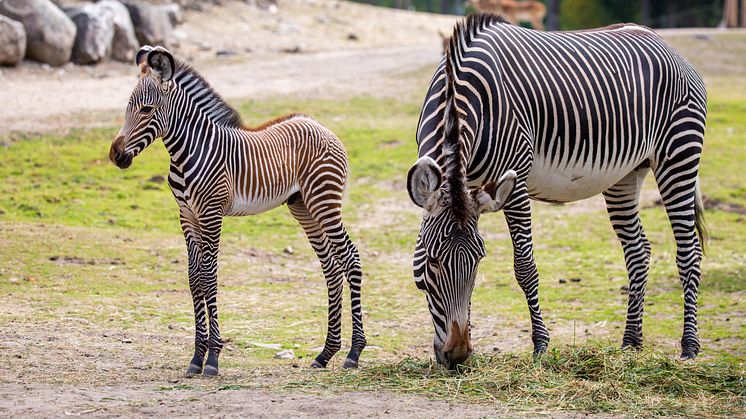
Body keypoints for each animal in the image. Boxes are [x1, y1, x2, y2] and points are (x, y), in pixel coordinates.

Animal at [110, 46, 366, 378]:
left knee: (351, 259)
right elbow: (194, 278)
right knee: (332, 268)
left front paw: (213, 358)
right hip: (303, 206)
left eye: (146, 110)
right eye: (128, 108)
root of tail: (322, 127)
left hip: (325, 201)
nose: (116, 155)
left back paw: (354, 352)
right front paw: (196, 358)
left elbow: (209, 276)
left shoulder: (211, 213)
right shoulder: (187, 216)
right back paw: (325, 354)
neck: (188, 151)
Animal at [406, 13, 704, 370]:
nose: (458, 355)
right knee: (638, 251)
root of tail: (666, 45)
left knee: (689, 252)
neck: (459, 95)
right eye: (432, 262)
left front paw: (540, 345)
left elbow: (524, 268)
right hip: (625, 174)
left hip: (679, 154)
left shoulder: (516, 183)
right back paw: (630, 343)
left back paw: (689, 346)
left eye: (478, 260)